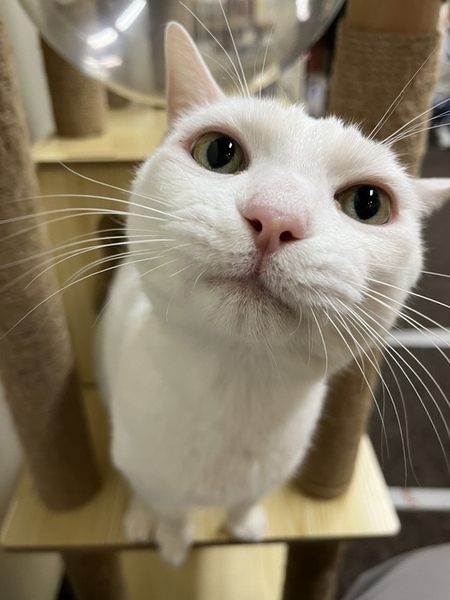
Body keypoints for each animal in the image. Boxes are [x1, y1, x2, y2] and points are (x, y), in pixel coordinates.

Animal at [96, 22, 450, 566]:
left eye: (368, 204)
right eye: (219, 152)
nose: (275, 217)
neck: (236, 393)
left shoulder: (272, 470)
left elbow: (245, 500)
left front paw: (244, 527)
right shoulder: (150, 470)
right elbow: (170, 509)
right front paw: (174, 544)